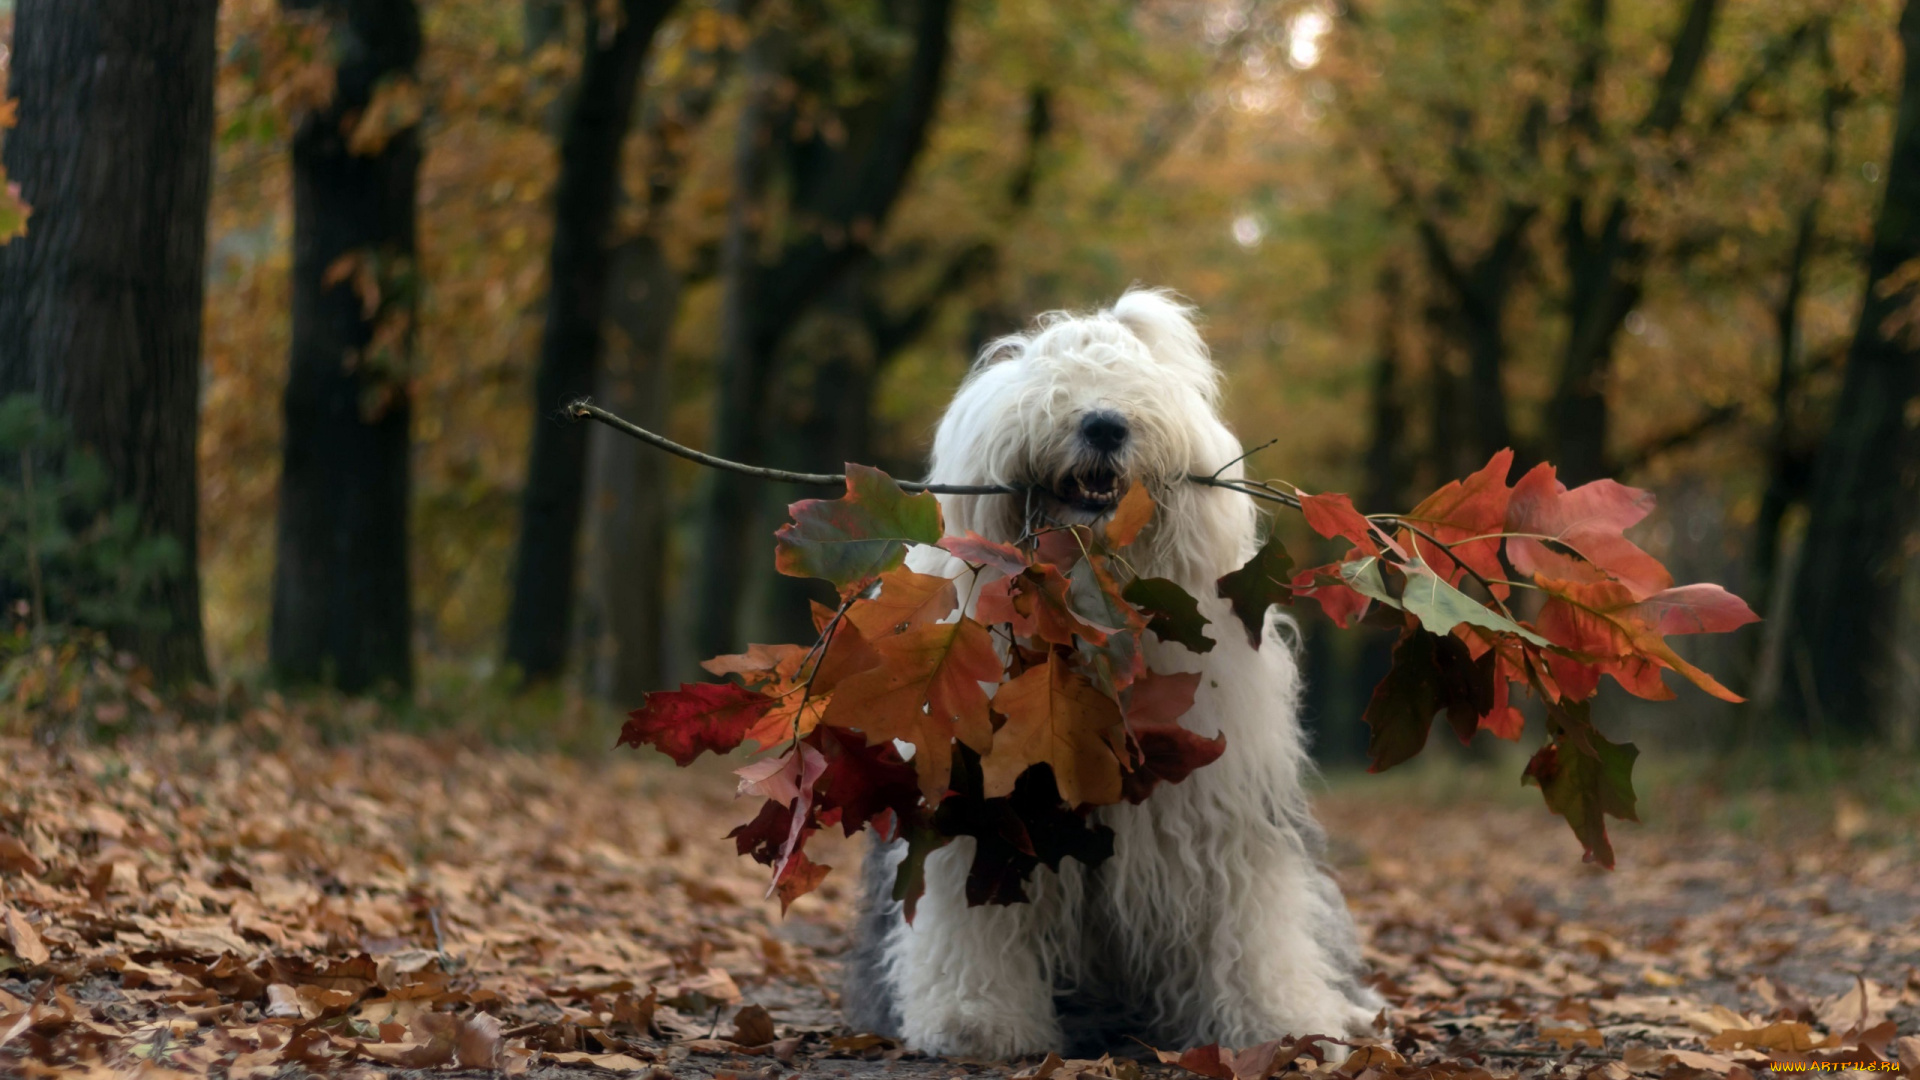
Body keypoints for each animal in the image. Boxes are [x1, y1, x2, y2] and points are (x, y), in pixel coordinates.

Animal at [840, 286, 1382, 1053]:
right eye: (1049, 378)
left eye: (1135, 379)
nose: (1103, 424)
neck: (1085, 611)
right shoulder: (982, 809)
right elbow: (975, 914)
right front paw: (976, 1019)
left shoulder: (1220, 809)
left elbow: (1245, 916)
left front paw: (1275, 1019)